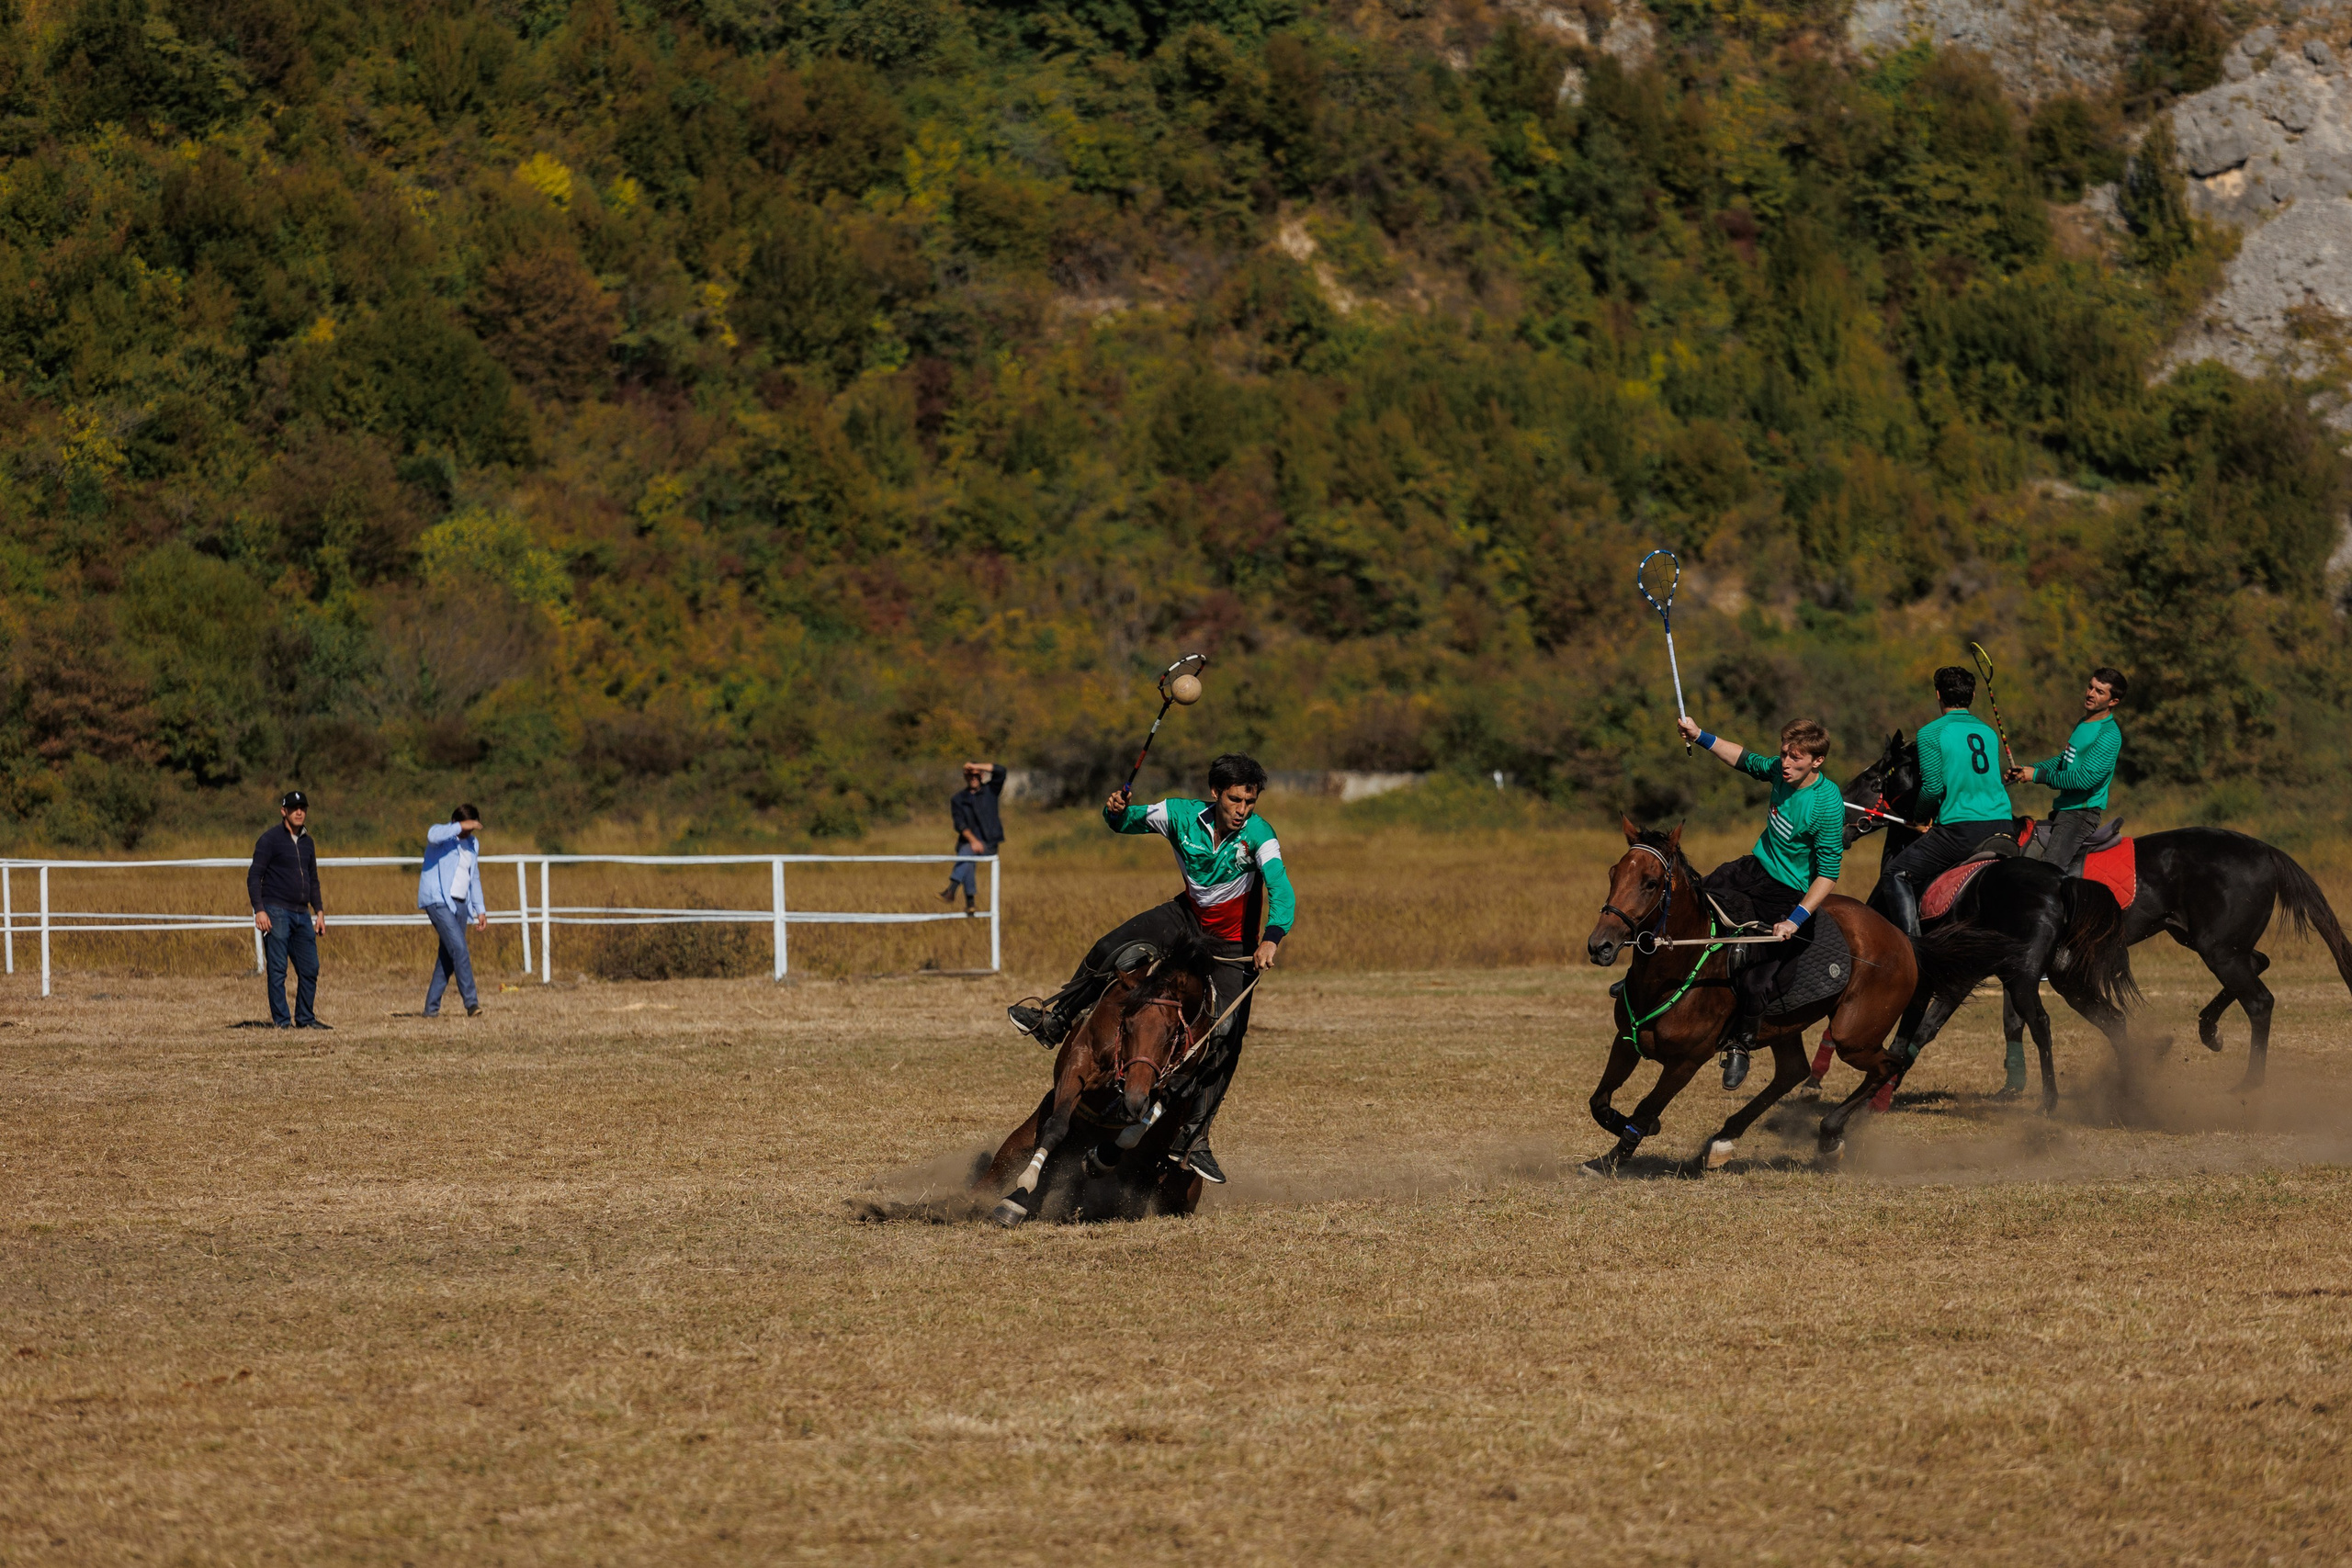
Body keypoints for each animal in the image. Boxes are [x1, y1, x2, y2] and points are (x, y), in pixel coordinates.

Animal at [976, 936, 1219, 1227]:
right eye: (1126, 1024)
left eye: (1172, 1033)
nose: (1134, 1100)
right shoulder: (1079, 1063)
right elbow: (1057, 1126)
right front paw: (1017, 1197)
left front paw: (1099, 1159)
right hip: (1019, 1142)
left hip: (1182, 1188)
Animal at [1584, 819, 1918, 1171]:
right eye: (1613, 873)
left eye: (1650, 883)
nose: (1600, 945)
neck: (1670, 973)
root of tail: (1900, 936)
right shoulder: (1626, 1040)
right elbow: (1599, 1102)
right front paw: (1632, 1136)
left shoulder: (1686, 1062)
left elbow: (1646, 1108)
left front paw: (1612, 1158)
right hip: (1788, 1025)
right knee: (1793, 1071)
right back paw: (1723, 1139)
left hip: (1853, 1038)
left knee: (1886, 1066)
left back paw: (1829, 1134)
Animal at [1846, 731, 2352, 1089]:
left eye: (1873, 778)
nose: (1845, 822)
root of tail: (2265, 850)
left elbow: (1996, 1019)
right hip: (2203, 939)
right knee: (2259, 964)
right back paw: (2209, 1031)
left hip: (2218, 948)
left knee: (2260, 1002)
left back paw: (2249, 1081)